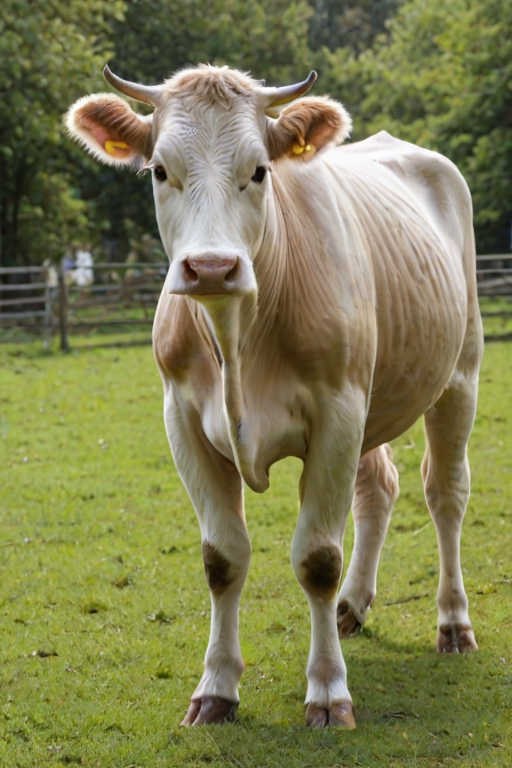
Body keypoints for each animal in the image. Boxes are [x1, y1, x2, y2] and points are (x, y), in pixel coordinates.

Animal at [66, 63, 484, 730]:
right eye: (159, 170)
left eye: (260, 170)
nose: (212, 267)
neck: (239, 337)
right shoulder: (183, 419)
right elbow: (222, 558)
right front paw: (216, 688)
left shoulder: (337, 412)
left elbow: (317, 558)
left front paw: (328, 692)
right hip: (373, 396)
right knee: (379, 488)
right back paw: (352, 607)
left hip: (458, 375)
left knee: (445, 494)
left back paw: (452, 623)